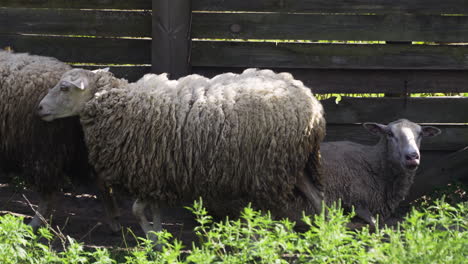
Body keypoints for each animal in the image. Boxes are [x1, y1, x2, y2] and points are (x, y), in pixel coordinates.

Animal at [0, 51, 119, 231]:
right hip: (81, 149)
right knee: (102, 182)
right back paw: (114, 221)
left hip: (43, 149)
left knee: (48, 194)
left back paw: (35, 223)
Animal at [37, 67, 326, 239]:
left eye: (64, 88)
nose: (39, 108)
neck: (123, 104)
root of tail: (312, 103)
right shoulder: (154, 173)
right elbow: (152, 211)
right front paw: (158, 240)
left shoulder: (149, 169)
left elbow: (138, 210)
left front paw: (152, 238)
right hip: (296, 164)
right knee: (318, 199)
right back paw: (326, 234)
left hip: (270, 169)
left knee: (274, 210)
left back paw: (258, 242)